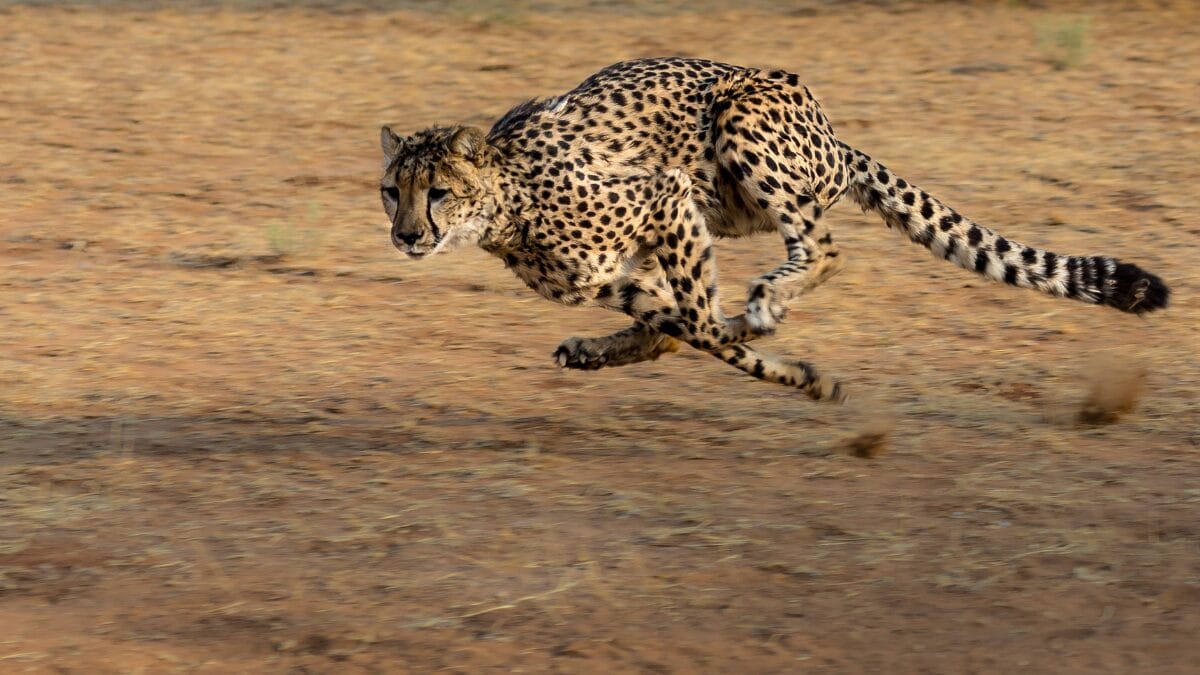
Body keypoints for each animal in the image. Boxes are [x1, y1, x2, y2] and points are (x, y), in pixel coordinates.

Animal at [378, 57, 1169, 403]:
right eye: (392, 192)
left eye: (437, 192)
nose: (406, 236)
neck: (506, 204)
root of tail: (833, 134)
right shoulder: (615, 275)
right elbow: (684, 328)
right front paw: (794, 370)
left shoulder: (665, 196)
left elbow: (702, 325)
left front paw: (794, 367)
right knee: (680, 324)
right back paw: (612, 347)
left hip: (740, 126)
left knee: (823, 247)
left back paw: (767, 300)